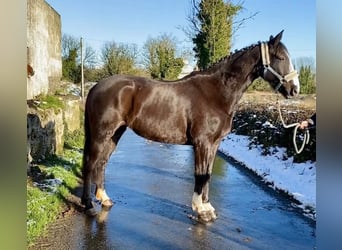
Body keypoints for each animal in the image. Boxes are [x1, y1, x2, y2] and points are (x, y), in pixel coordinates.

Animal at [80, 30, 300, 222]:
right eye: (280, 57)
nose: (295, 90)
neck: (216, 92)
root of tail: (96, 87)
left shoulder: (214, 144)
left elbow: (208, 174)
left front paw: (208, 207)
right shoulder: (202, 143)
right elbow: (200, 174)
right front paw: (200, 210)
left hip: (115, 134)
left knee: (102, 163)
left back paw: (105, 199)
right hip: (101, 134)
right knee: (90, 163)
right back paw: (89, 205)